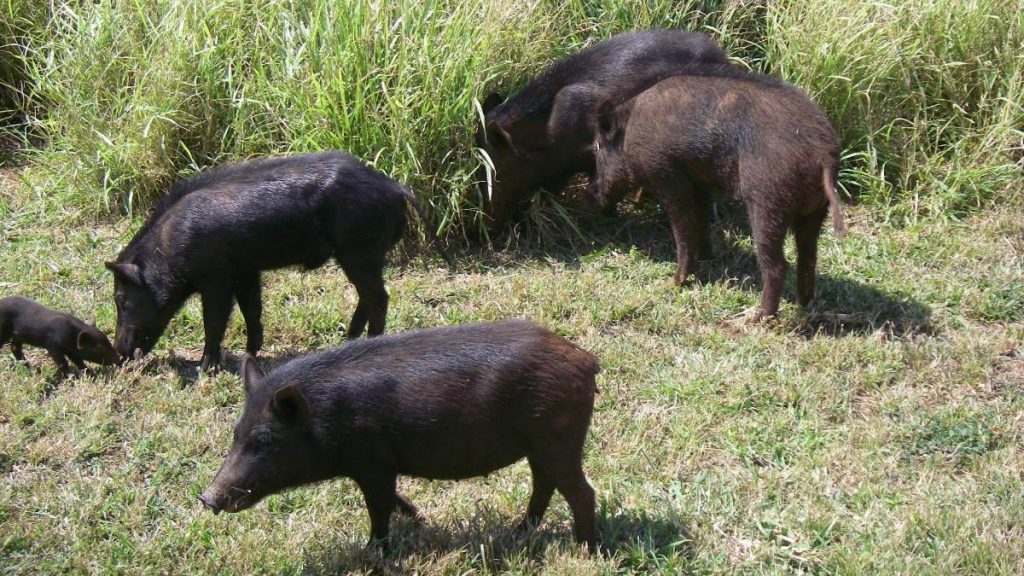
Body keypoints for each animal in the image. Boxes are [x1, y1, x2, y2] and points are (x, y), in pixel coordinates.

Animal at [105, 151, 452, 372]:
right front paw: (250, 352)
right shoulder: (246, 271)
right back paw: (347, 341)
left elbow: (215, 320)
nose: (118, 351)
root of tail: (395, 187)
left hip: (359, 251)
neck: (169, 247)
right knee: (367, 298)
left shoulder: (216, 279)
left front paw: (206, 368)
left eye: (121, 299)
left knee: (378, 297)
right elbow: (252, 309)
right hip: (361, 255)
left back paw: (370, 342)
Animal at [199, 320, 599, 550]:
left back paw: (585, 549)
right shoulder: (375, 465)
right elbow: (393, 500)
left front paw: (373, 553)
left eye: (265, 441)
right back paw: (519, 533)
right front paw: (419, 520)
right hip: (540, 444)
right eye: (235, 434)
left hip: (557, 436)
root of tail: (586, 359)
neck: (327, 418)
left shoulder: (374, 463)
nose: (207, 498)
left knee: (581, 492)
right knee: (543, 485)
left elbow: (378, 508)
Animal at [591, 67, 846, 320]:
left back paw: (757, 317)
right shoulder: (701, 183)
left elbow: (683, 228)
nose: (595, 196)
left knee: (778, 265)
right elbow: (703, 220)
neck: (630, 128)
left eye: (598, 147)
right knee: (808, 257)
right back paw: (802, 306)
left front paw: (673, 283)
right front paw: (708, 258)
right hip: (815, 211)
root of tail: (823, 153)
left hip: (768, 203)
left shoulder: (667, 175)